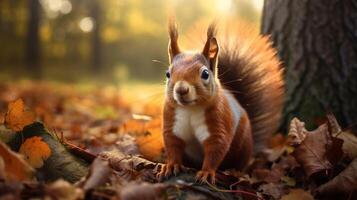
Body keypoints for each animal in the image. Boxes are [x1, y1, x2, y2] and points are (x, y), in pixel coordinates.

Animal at [156, 20, 284, 184]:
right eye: (168, 74)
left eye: (205, 74)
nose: (181, 90)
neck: (190, 109)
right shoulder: (172, 124)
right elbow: (172, 145)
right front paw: (171, 166)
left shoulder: (219, 122)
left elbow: (215, 149)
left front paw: (206, 173)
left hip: (242, 145)